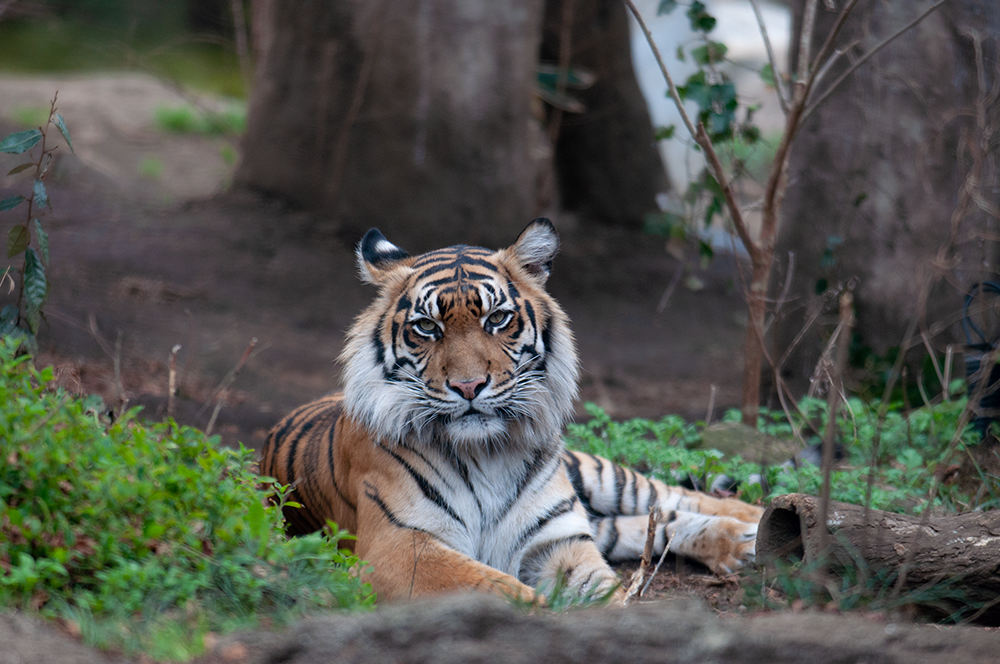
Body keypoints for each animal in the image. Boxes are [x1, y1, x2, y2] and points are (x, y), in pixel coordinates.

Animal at [260, 220, 764, 604]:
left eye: (497, 319)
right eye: (427, 327)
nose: (468, 386)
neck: (484, 453)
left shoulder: (557, 541)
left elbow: (608, 593)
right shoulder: (400, 547)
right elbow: (503, 591)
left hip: (592, 474)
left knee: (668, 496)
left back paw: (753, 522)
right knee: (640, 524)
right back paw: (738, 540)